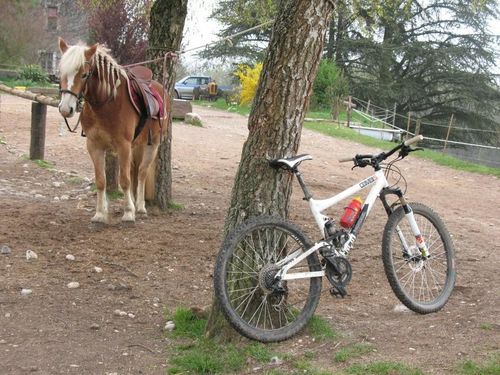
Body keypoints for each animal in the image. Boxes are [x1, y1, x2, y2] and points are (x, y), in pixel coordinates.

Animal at [57, 37, 165, 223]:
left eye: (84, 74)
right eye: (61, 73)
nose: (65, 109)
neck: (106, 103)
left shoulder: (123, 145)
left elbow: (125, 180)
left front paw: (128, 212)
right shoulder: (94, 145)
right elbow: (101, 181)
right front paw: (100, 213)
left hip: (153, 144)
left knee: (142, 173)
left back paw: (140, 207)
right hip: (136, 145)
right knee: (135, 171)